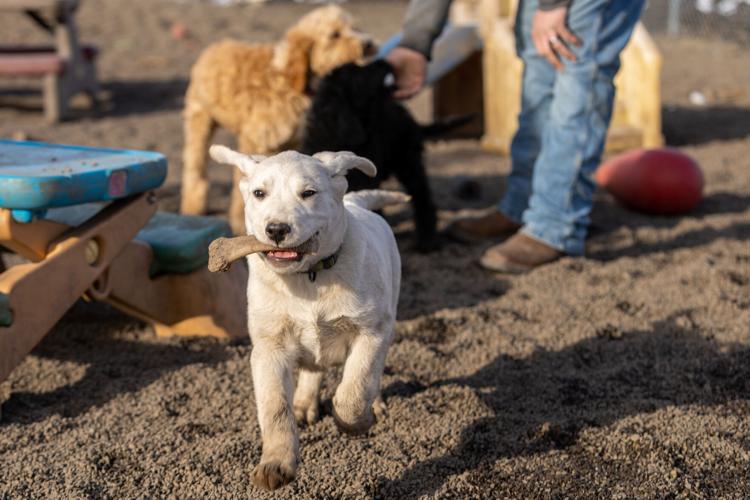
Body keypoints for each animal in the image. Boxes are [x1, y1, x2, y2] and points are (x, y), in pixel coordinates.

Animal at [182, 5, 376, 232]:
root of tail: (213, 47)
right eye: (334, 35)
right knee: (194, 165)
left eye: (356, 28)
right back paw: (192, 206)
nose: (368, 44)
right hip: (199, 119)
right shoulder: (254, 140)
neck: (286, 79)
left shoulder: (292, 142)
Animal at [209, 146, 408, 492]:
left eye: (308, 193)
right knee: (313, 368)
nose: (276, 230)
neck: (309, 277)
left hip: (390, 308)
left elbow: (354, 389)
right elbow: (275, 409)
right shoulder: (269, 348)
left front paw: (356, 421)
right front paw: (276, 463)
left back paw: (375, 403)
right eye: (259, 193)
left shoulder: (371, 331)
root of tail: (354, 202)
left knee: (372, 374)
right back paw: (303, 404)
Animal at [302, 60, 450, 252]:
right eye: (359, 76)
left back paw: (427, 240)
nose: (385, 62)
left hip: (407, 158)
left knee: (421, 194)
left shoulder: (366, 179)